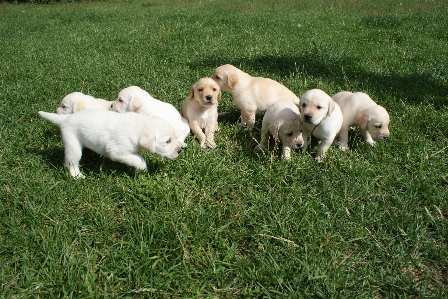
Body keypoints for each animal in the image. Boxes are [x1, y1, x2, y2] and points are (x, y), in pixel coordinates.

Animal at [38, 110, 181, 179]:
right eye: (167, 141)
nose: (179, 150)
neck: (140, 127)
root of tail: (66, 118)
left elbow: (134, 157)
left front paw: (133, 169)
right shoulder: (116, 151)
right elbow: (138, 159)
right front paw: (142, 168)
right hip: (73, 145)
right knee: (71, 163)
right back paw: (77, 176)